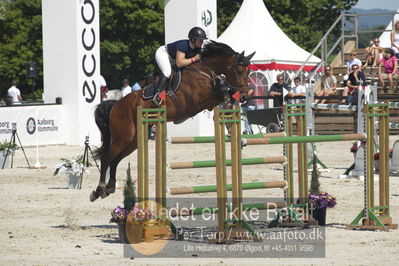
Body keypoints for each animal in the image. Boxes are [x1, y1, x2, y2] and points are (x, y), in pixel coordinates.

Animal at [90, 40, 256, 201]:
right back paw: (99, 190)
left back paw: (110, 188)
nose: (244, 97)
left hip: (133, 141)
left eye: (248, 72)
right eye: (239, 71)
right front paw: (228, 94)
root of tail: (115, 105)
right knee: (106, 158)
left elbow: (225, 94)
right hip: (124, 137)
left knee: (115, 160)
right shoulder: (196, 101)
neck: (204, 72)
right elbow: (222, 91)